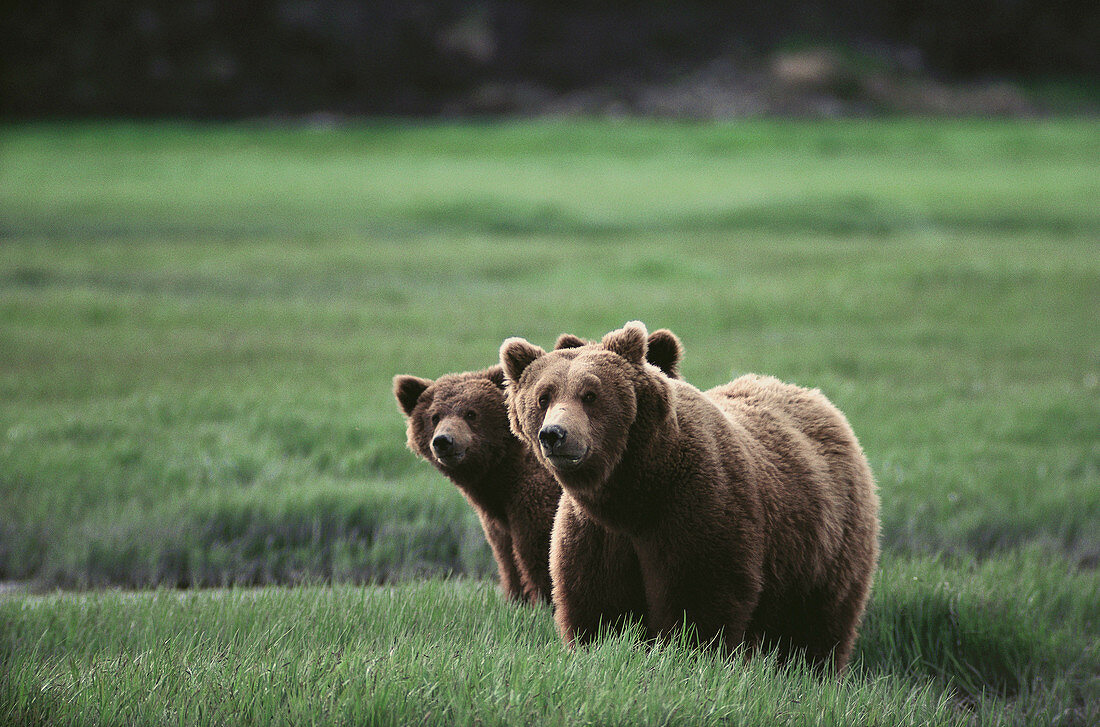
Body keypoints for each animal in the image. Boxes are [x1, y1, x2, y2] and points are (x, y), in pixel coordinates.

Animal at [391, 327, 682, 602]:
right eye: (434, 416)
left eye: (471, 413)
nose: (443, 441)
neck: (501, 475)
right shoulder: (498, 519)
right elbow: (506, 558)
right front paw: (514, 597)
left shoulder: (534, 500)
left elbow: (541, 554)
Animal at [503, 321, 880, 673]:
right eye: (543, 397)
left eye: (591, 394)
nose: (555, 434)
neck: (633, 493)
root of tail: (818, 400)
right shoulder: (596, 534)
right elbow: (596, 606)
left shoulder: (696, 510)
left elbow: (698, 601)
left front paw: (689, 654)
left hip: (825, 545)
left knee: (819, 623)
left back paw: (817, 668)